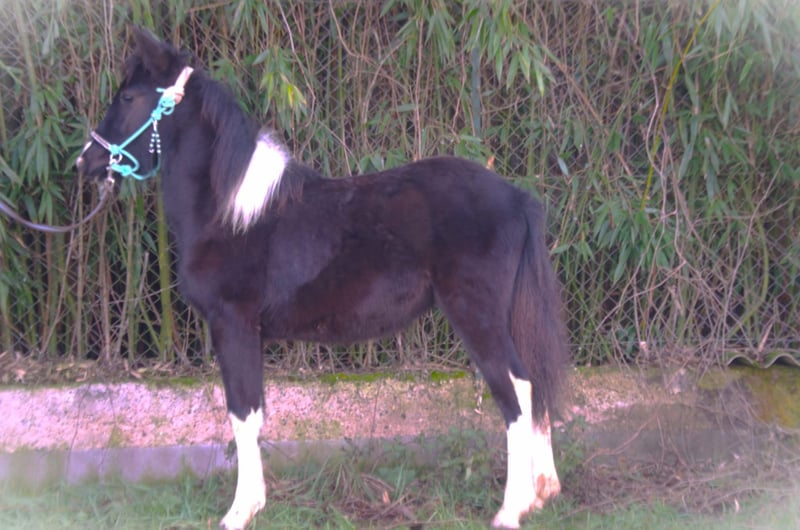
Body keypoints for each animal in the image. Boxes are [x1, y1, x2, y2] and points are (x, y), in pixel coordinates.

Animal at [76, 27, 569, 530]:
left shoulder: (232, 324)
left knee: (516, 391)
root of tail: (515, 197)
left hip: (477, 316)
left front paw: (239, 512)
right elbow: (254, 413)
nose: (86, 162)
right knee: (535, 382)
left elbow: (241, 414)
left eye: (129, 96)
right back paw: (543, 491)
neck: (231, 213)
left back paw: (512, 508)